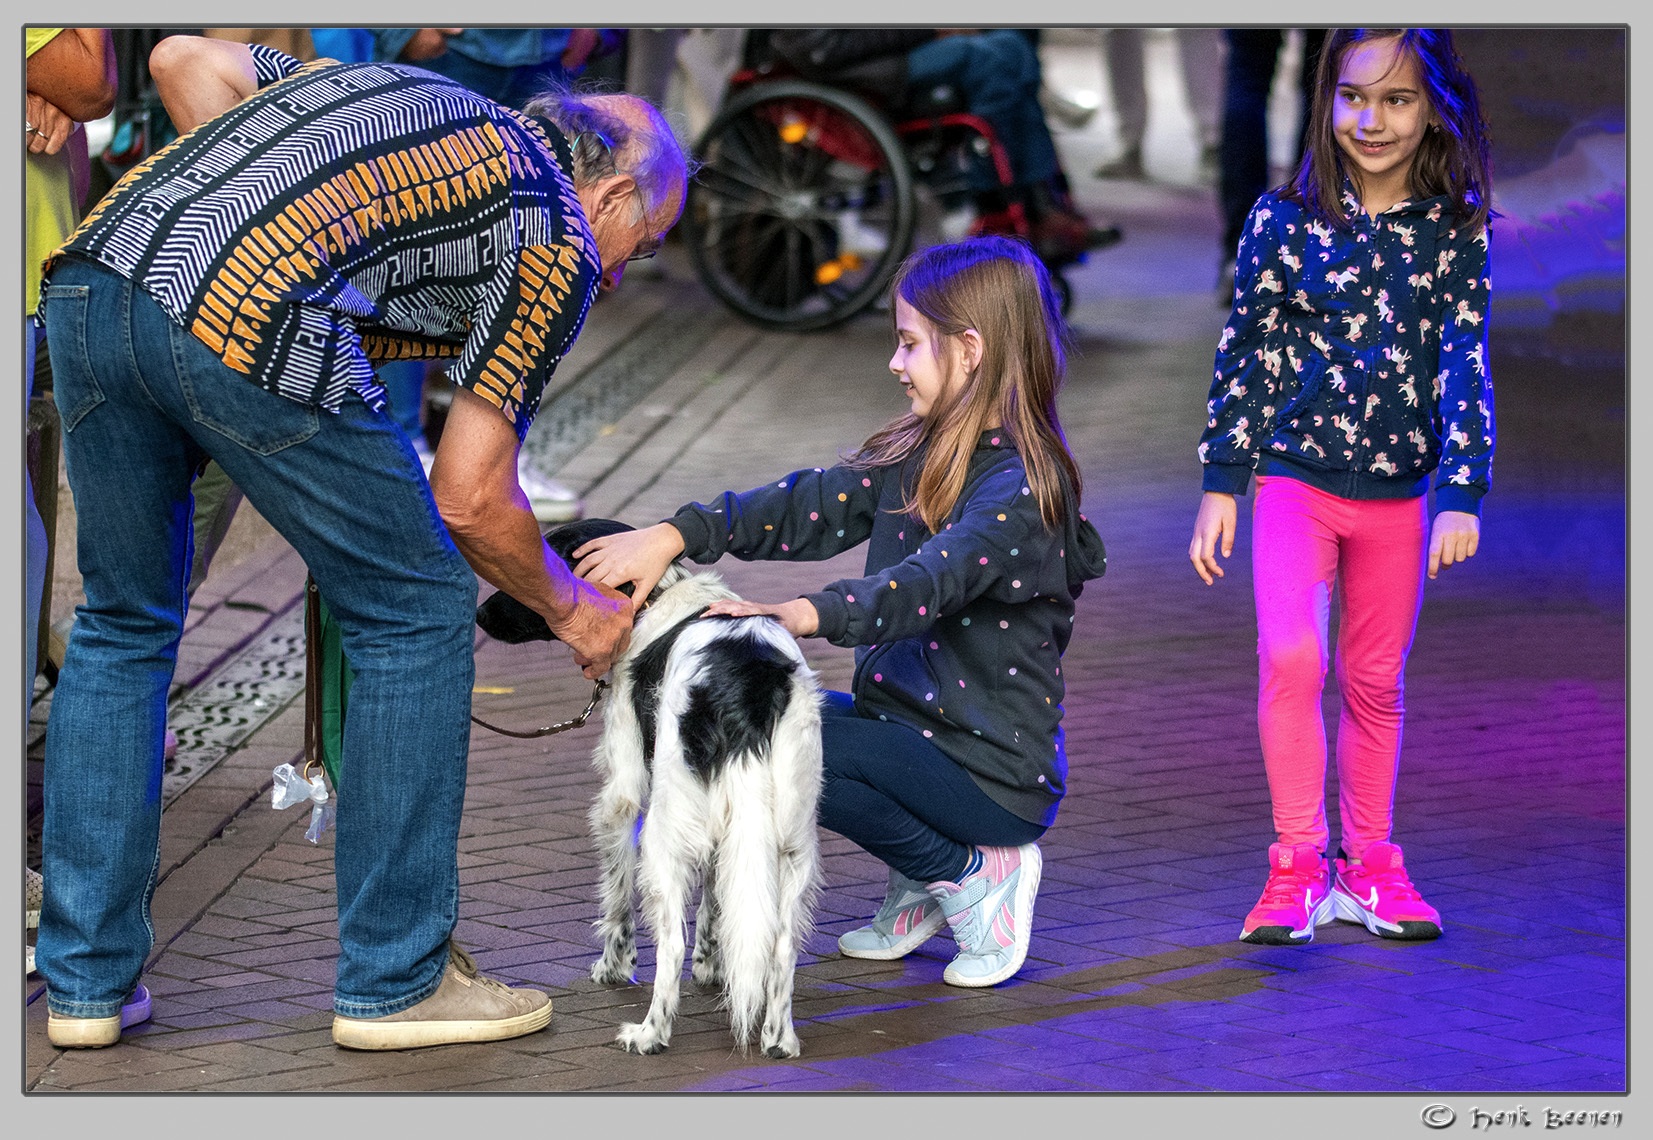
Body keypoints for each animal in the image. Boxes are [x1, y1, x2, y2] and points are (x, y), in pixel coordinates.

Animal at [476, 518, 823, 1050]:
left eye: (543, 563)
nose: (478, 614)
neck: (658, 597)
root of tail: (747, 689)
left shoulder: (621, 794)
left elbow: (617, 894)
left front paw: (613, 966)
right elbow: (718, 897)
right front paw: (713, 965)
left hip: (663, 831)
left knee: (671, 943)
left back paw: (649, 1033)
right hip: (792, 838)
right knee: (781, 945)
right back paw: (778, 1038)